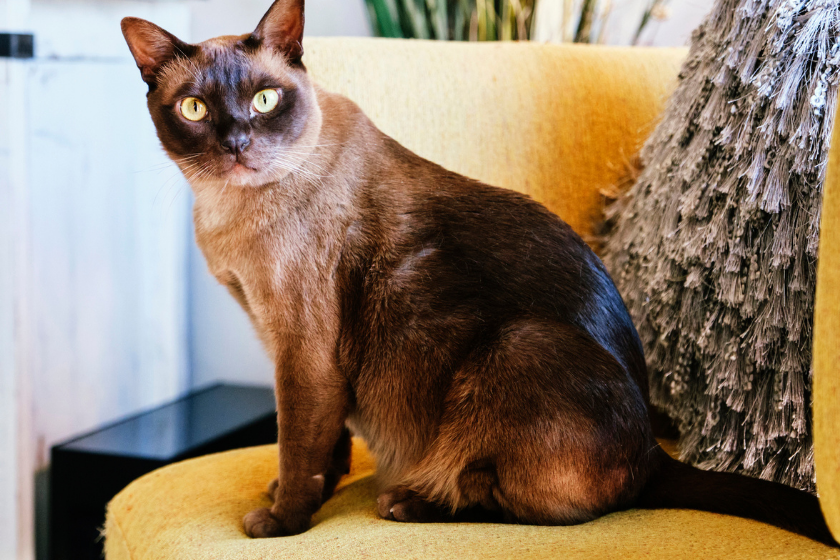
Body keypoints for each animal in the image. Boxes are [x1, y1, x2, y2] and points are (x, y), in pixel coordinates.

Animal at [121, 0, 836, 544]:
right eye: (194, 109)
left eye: (265, 99)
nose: (236, 143)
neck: (228, 214)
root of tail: (658, 454)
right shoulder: (287, 345)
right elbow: (326, 448)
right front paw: (306, 495)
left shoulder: (303, 352)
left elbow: (299, 445)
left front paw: (281, 521)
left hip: (516, 348)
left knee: (535, 503)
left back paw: (410, 501)